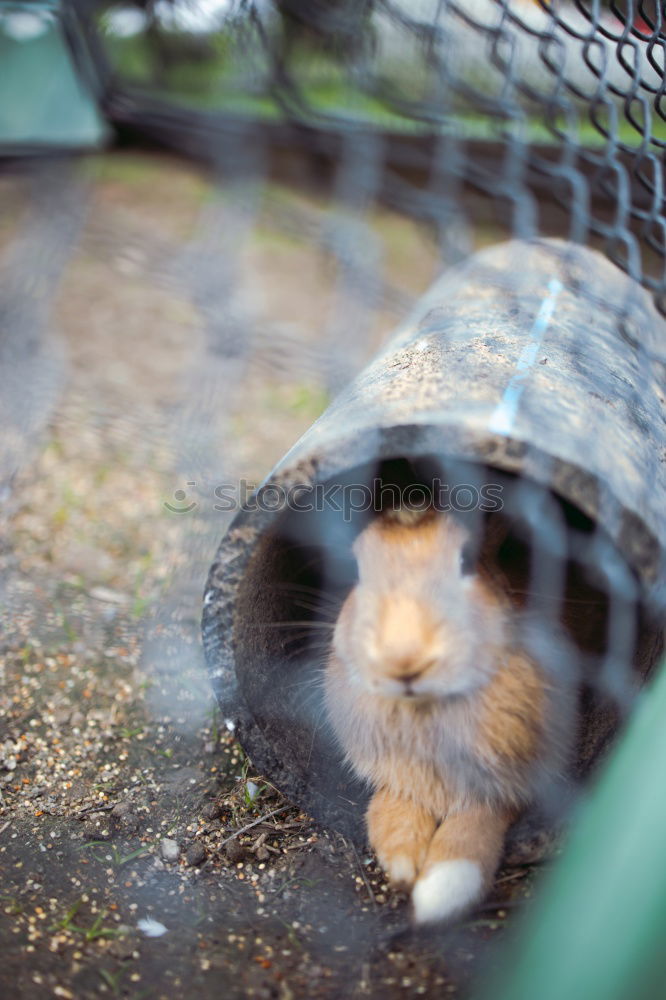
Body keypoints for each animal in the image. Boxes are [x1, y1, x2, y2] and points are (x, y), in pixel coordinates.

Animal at [324, 504, 572, 924]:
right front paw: (403, 868)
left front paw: (437, 894)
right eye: (357, 570)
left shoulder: (506, 785)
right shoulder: (397, 779)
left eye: (466, 560)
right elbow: (391, 812)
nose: (404, 659)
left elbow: (472, 832)